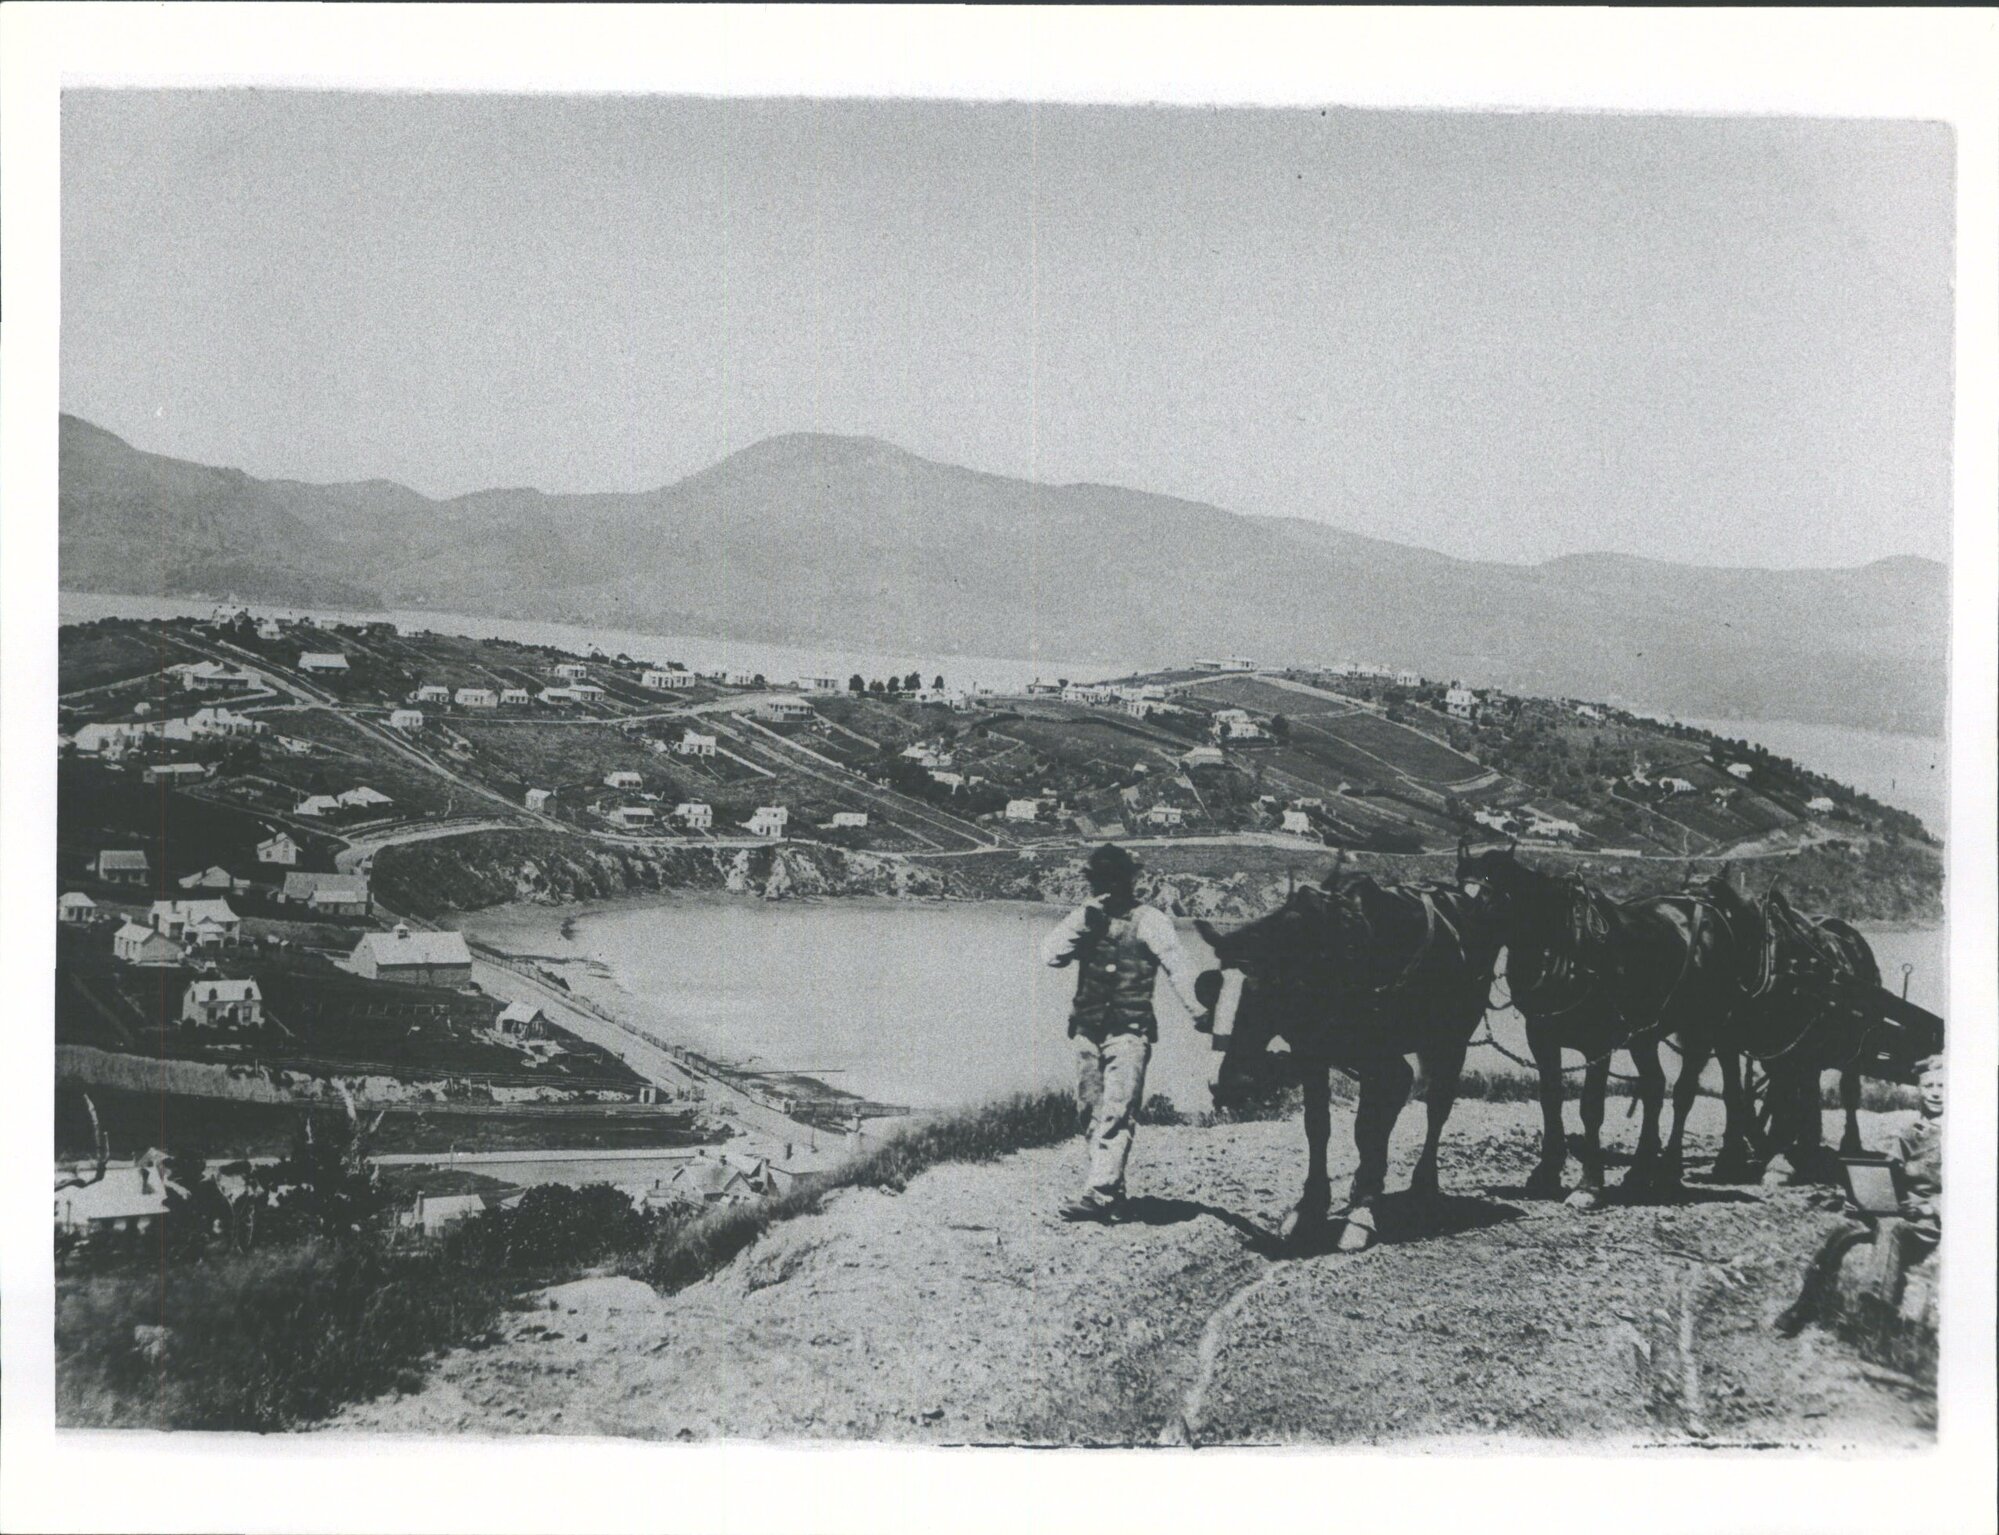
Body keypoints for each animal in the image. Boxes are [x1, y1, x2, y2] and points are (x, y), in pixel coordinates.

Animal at [1191, 867, 1504, 1251]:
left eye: (1269, 991)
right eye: (1210, 990)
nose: (1231, 1085)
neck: (1331, 958)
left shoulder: (1383, 1062)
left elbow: (1367, 1128)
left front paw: (1361, 1213)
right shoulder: (1312, 1055)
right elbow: (1317, 1126)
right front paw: (1309, 1207)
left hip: (1452, 1039)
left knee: (1437, 1108)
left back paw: (1423, 1187)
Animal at [1454, 842, 1745, 1207]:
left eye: (1492, 896)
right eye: (1458, 894)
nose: (1464, 951)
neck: (1565, 948)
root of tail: (1705, 910)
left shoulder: (1598, 1044)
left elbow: (1591, 1109)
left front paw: (1588, 1185)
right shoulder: (1541, 1037)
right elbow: (1550, 1100)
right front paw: (1546, 1173)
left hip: (1701, 1029)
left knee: (1684, 1093)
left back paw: (1670, 1171)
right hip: (1644, 1036)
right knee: (1654, 1087)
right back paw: (1639, 1172)